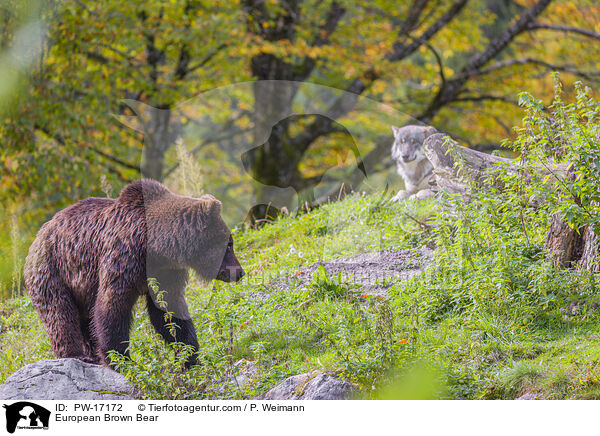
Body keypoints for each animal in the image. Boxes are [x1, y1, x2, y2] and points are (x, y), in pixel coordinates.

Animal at [23, 179, 244, 366]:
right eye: (229, 244)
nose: (239, 272)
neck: (158, 247)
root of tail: (37, 237)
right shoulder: (123, 259)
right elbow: (112, 306)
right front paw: (120, 359)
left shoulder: (165, 273)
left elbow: (169, 311)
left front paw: (189, 356)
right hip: (53, 270)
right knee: (60, 313)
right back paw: (77, 354)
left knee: (82, 318)